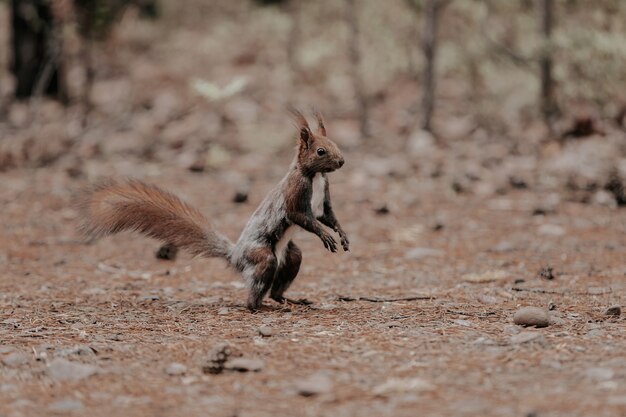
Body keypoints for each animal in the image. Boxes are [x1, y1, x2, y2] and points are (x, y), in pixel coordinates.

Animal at [79, 109, 346, 310]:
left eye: (335, 143)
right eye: (320, 151)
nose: (342, 161)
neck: (315, 176)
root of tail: (235, 255)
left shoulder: (323, 200)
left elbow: (327, 216)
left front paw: (342, 235)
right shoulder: (294, 194)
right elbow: (300, 215)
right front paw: (325, 235)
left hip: (290, 257)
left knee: (280, 283)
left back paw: (290, 300)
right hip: (262, 257)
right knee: (257, 289)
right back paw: (258, 306)